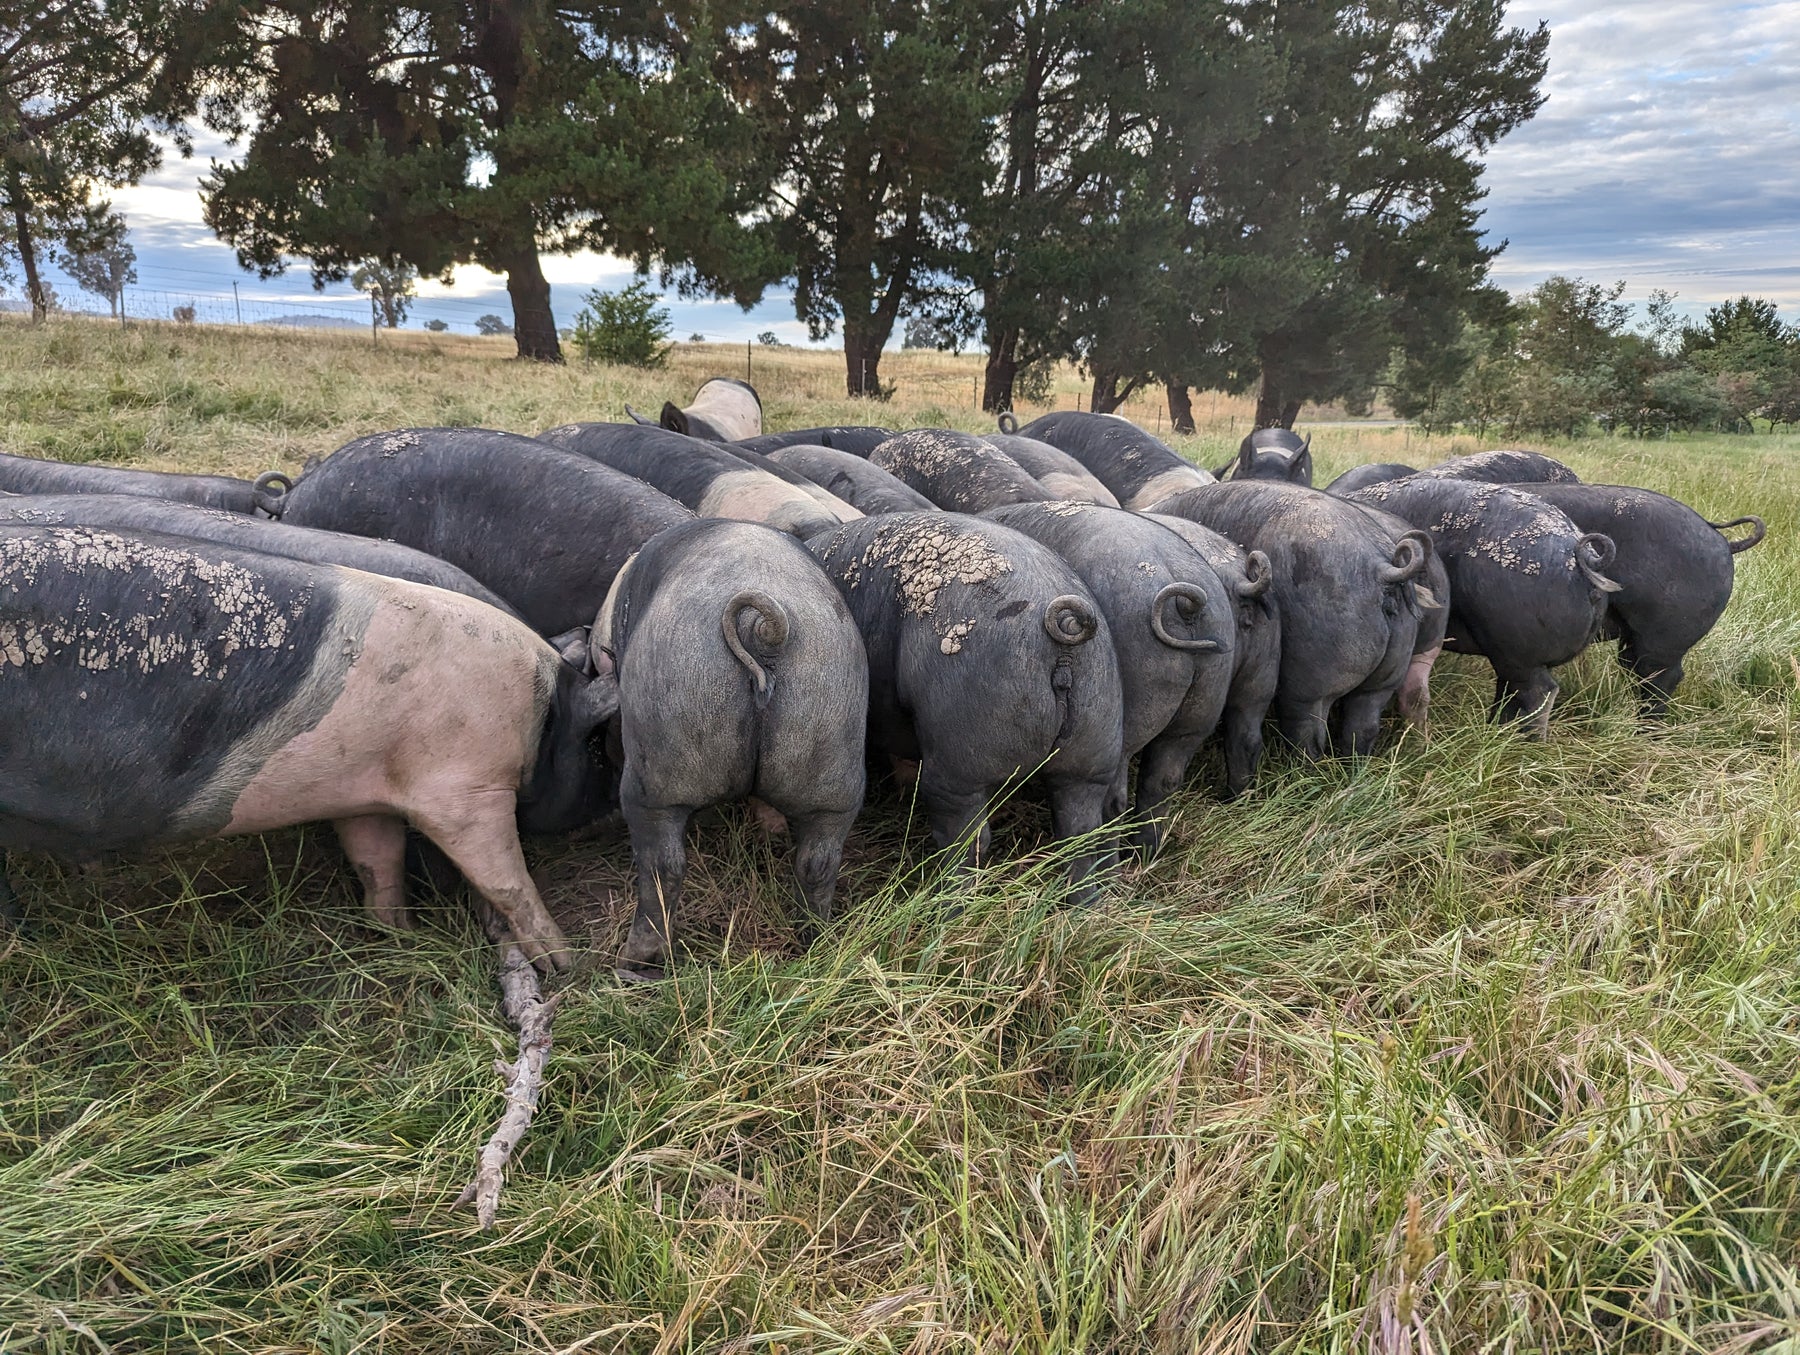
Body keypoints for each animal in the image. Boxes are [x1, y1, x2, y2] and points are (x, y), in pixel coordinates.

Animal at [0, 525, 620, 972]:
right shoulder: (464, 788)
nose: (612, 809)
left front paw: (398, 937)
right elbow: (506, 881)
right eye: (598, 749)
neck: (543, 713)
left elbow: (376, 860)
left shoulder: (365, 791)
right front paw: (567, 965)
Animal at [597, 519, 868, 981]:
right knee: (818, 862)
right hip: (835, 759)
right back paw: (815, 943)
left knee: (662, 866)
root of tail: (766, 628)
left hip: (661, 756)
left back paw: (636, 964)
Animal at [806, 513, 1124, 898]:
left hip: (960, 749)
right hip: (1096, 740)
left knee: (966, 837)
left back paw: (945, 900)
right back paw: (1082, 903)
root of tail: (1061, 630)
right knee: (1079, 832)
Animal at [983, 502, 1234, 852]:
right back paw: (1146, 854)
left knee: (1115, 797)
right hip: (1204, 700)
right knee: (1164, 780)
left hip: (1134, 709)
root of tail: (1186, 600)